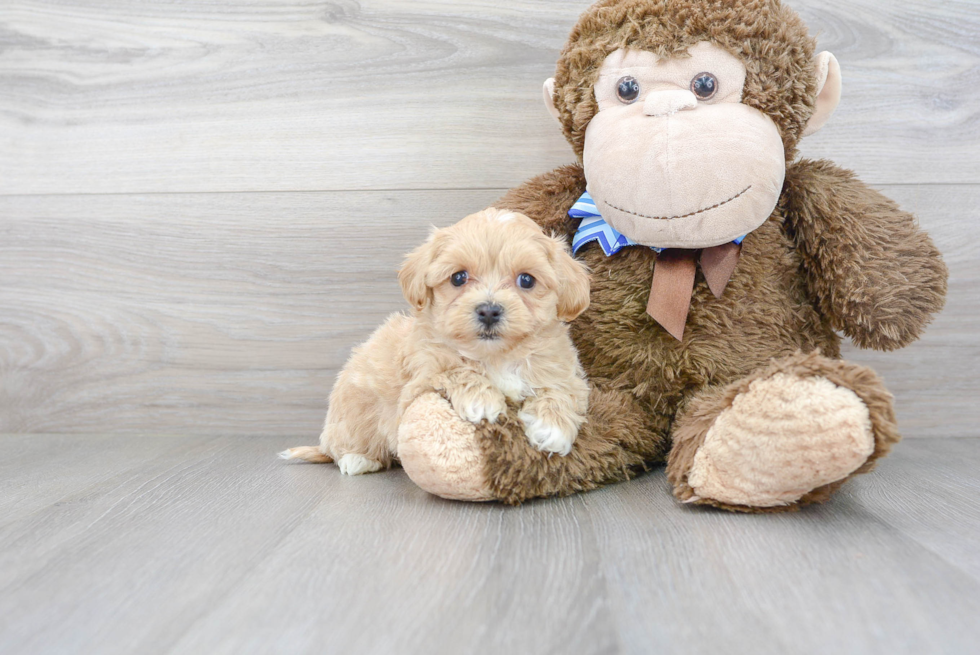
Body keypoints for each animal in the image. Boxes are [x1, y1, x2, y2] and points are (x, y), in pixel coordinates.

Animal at [278, 209, 588, 476]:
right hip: (351, 414)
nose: (489, 310)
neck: (494, 356)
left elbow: (559, 391)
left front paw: (552, 428)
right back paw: (358, 459)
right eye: (458, 277)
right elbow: (454, 370)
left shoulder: (564, 372)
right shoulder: (420, 378)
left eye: (526, 280)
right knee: (342, 447)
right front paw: (482, 400)